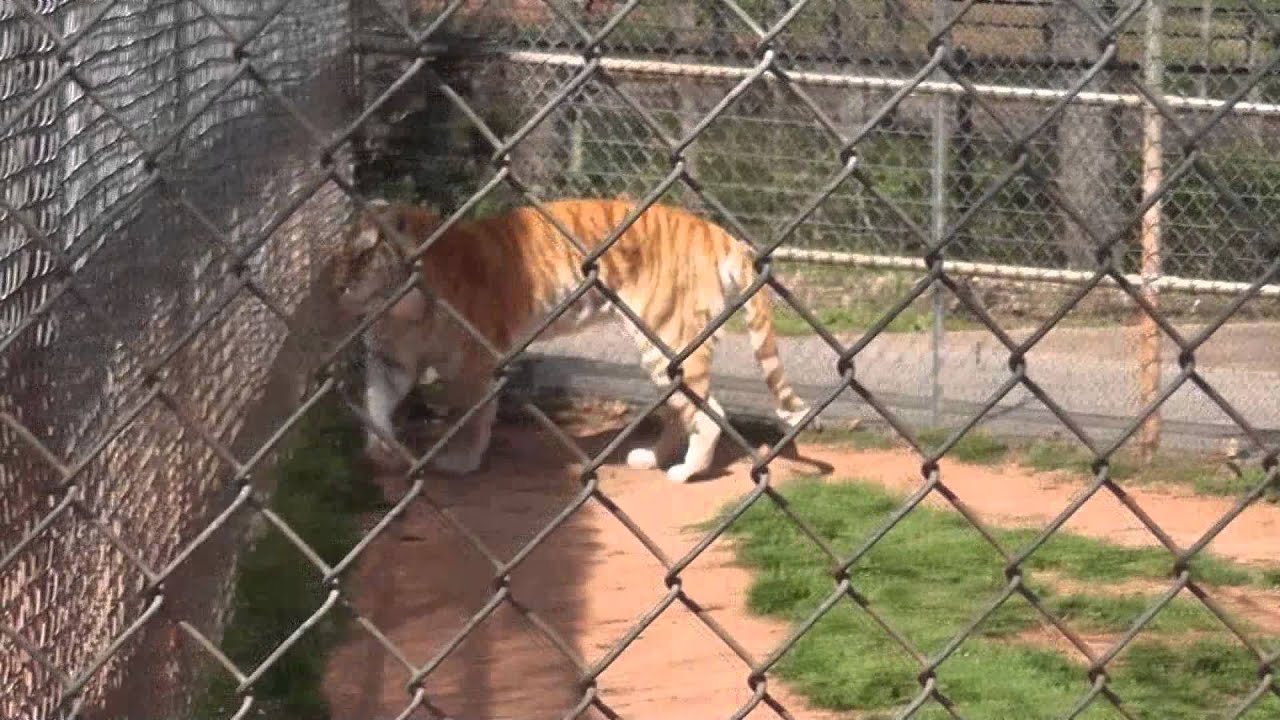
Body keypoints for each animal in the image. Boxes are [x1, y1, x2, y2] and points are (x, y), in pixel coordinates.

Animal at [332, 196, 813, 483]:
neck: (403, 307)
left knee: (710, 412)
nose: (336, 287)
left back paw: (685, 472)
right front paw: (382, 449)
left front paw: (460, 462)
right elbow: (375, 405)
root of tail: (713, 229)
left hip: (667, 340)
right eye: (338, 255)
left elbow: (470, 418)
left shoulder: (477, 363)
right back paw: (651, 459)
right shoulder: (390, 360)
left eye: (363, 254)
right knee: (683, 411)